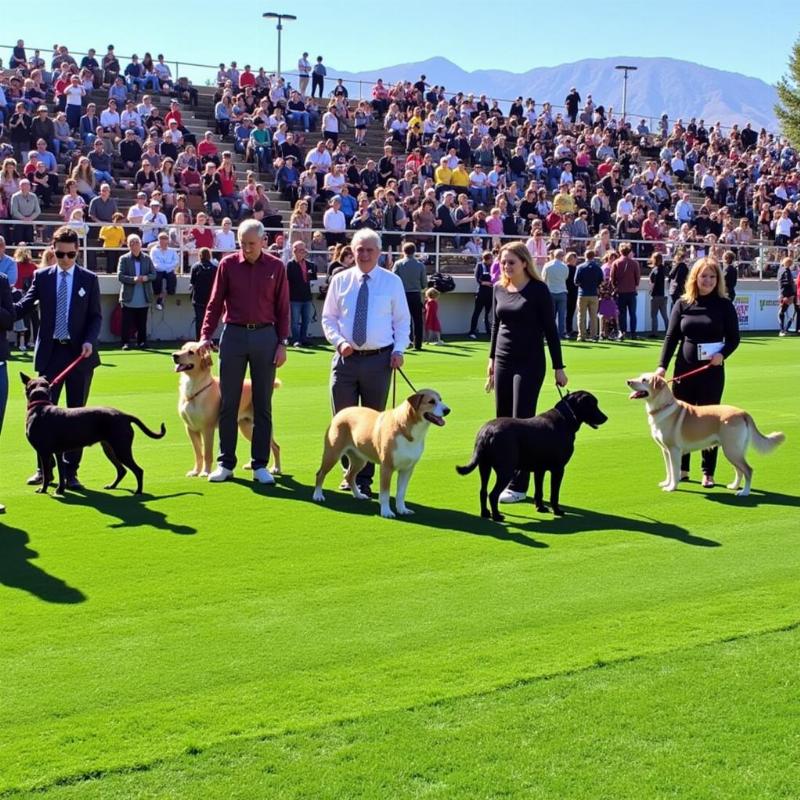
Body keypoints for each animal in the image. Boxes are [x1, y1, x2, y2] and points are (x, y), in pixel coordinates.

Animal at [21, 374, 167, 494]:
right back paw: (112, 486)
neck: (40, 405)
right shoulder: (57, 452)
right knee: (122, 470)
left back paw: (138, 491)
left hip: (121, 449)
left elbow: (46, 474)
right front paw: (60, 490)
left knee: (138, 470)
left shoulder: (43, 452)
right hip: (110, 448)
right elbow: (61, 472)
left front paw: (43, 489)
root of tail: (124, 415)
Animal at [170, 342, 280, 478]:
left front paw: (205, 472)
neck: (195, 387)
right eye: (182, 348)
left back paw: (276, 468)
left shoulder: (207, 429)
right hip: (246, 427)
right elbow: (198, 454)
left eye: (191, 352)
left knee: (276, 447)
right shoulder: (190, 428)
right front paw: (195, 471)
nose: (174, 355)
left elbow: (207, 454)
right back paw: (250, 465)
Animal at [312, 390, 450, 520]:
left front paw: (402, 509)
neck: (406, 428)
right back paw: (318, 495)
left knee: (350, 476)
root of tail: (341, 412)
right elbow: (385, 493)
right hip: (332, 454)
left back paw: (358, 495)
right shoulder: (386, 467)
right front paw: (386, 512)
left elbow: (401, 493)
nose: (448, 410)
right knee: (320, 473)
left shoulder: (407, 469)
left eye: (440, 399)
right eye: (431, 401)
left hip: (359, 459)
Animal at [456, 390, 608, 520]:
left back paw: (485, 513)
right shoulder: (558, 469)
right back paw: (497, 516)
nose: (605, 418)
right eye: (593, 404)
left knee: (483, 491)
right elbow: (554, 494)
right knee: (493, 494)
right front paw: (557, 511)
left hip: (484, 467)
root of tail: (487, 431)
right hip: (506, 470)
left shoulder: (539, 469)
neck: (566, 418)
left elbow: (539, 491)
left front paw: (540, 508)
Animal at [624, 374, 780, 496]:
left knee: (748, 470)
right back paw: (734, 486)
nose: (628, 381)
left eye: (644, 379)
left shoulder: (674, 450)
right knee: (740, 470)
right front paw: (666, 483)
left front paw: (672, 487)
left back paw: (744, 492)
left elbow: (674, 471)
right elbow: (669, 470)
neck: (663, 407)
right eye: (640, 376)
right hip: (733, 451)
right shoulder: (665, 450)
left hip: (731, 450)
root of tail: (743, 413)